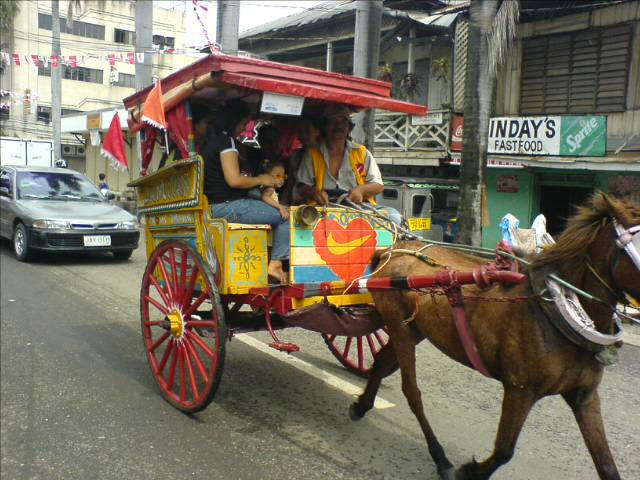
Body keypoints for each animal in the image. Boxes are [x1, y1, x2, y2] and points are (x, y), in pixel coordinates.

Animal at [350, 193, 640, 478]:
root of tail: (390, 252)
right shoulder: (519, 390)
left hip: (411, 330)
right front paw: (469, 471)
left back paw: (362, 405)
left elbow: (607, 466)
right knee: (412, 392)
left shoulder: (584, 396)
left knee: (381, 363)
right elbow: (504, 450)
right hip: (400, 329)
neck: (558, 311)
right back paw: (440, 456)